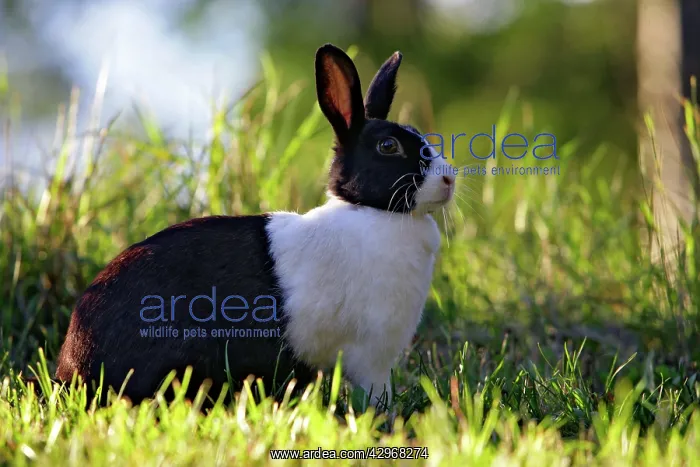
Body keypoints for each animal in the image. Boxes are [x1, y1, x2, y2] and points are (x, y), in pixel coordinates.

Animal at [55, 43, 457, 409]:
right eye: (388, 146)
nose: (449, 179)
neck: (371, 212)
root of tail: (74, 366)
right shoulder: (371, 355)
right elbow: (374, 393)